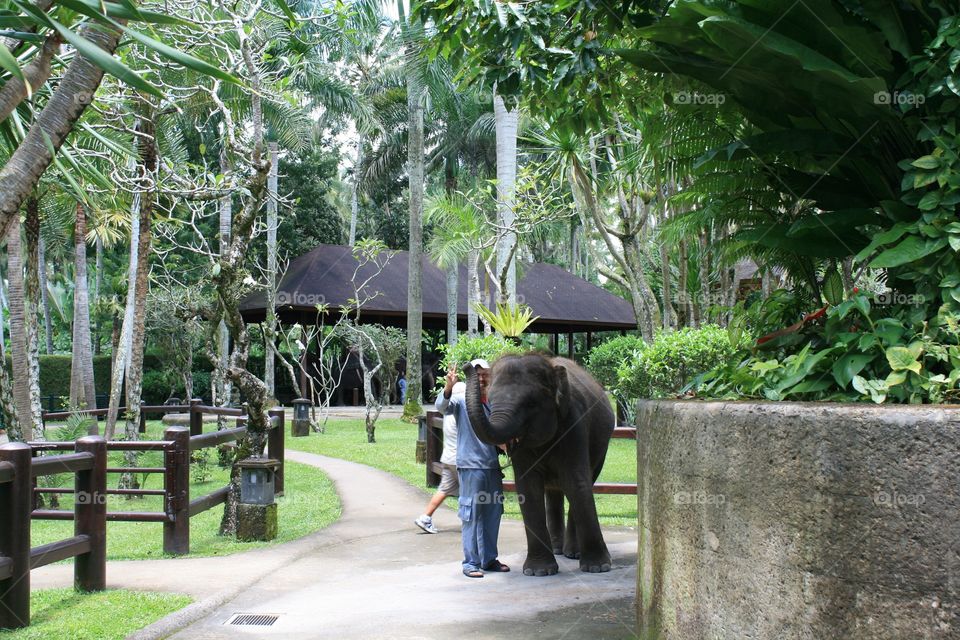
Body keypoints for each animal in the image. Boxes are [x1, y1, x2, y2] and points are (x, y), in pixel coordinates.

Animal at [464, 352, 614, 576]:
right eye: (489, 401)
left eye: (530, 404)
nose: (466, 366)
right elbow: (528, 488)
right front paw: (538, 572)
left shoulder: (574, 423)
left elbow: (576, 482)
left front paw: (598, 567)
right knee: (553, 490)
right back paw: (558, 549)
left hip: (602, 447)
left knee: (580, 481)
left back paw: (572, 553)